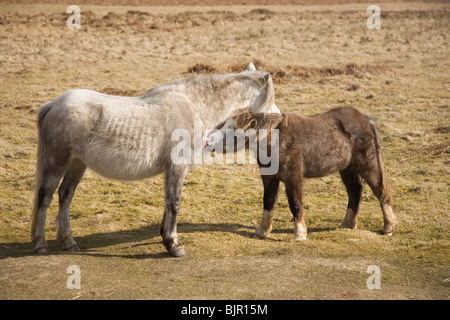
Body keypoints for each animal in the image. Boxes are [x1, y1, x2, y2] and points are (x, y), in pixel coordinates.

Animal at [220, 107, 396, 240]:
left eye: (232, 130)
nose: (214, 145)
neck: (277, 141)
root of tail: (366, 120)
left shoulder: (293, 178)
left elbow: (295, 204)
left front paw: (299, 234)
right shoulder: (269, 179)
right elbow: (268, 202)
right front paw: (261, 231)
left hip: (368, 165)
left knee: (380, 191)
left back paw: (388, 227)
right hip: (347, 169)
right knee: (355, 191)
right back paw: (347, 224)